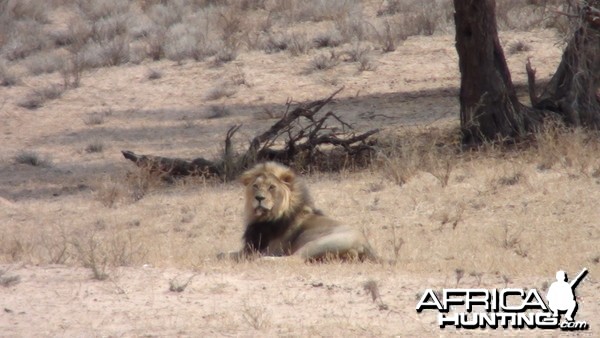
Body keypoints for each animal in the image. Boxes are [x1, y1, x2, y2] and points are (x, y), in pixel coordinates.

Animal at [219, 161, 380, 262]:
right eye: (255, 186)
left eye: (272, 187)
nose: (259, 198)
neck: (264, 218)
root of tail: (367, 246)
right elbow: (222, 253)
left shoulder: (264, 249)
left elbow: (228, 255)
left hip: (318, 243)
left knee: (295, 259)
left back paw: (264, 260)